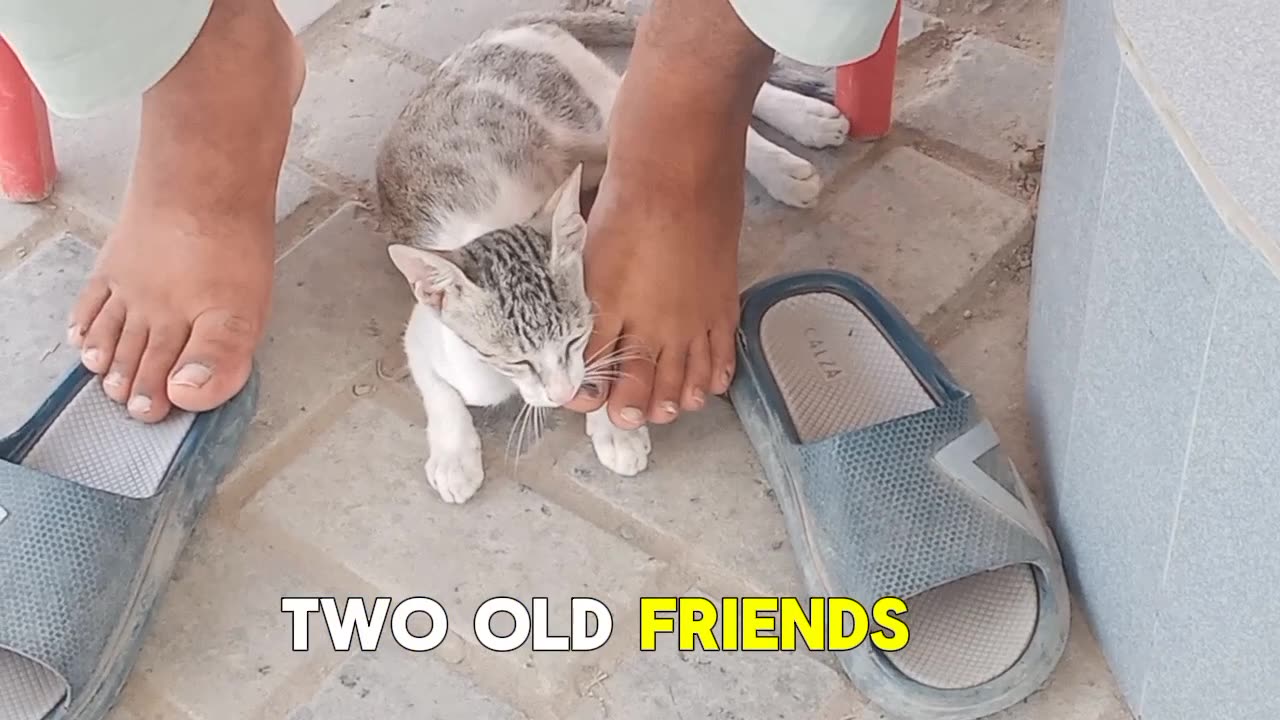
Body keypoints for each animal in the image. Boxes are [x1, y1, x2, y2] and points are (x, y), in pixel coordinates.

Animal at [376, 11, 849, 504]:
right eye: (517, 361)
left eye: (572, 339)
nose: (561, 394)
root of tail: (504, 31)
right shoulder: (430, 340)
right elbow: (442, 393)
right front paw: (453, 456)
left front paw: (613, 428)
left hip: (592, 116)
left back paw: (792, 147)